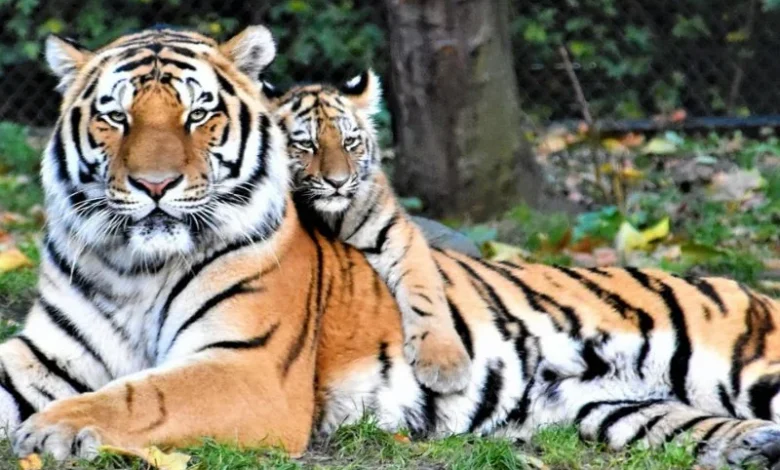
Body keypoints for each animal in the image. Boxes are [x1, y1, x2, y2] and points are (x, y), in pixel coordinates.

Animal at [260, 72, 472, 394]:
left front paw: (445, 363)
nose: (337, 182)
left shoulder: (398, 234)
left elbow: (425, 292)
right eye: (307, 144)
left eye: (349, 142)